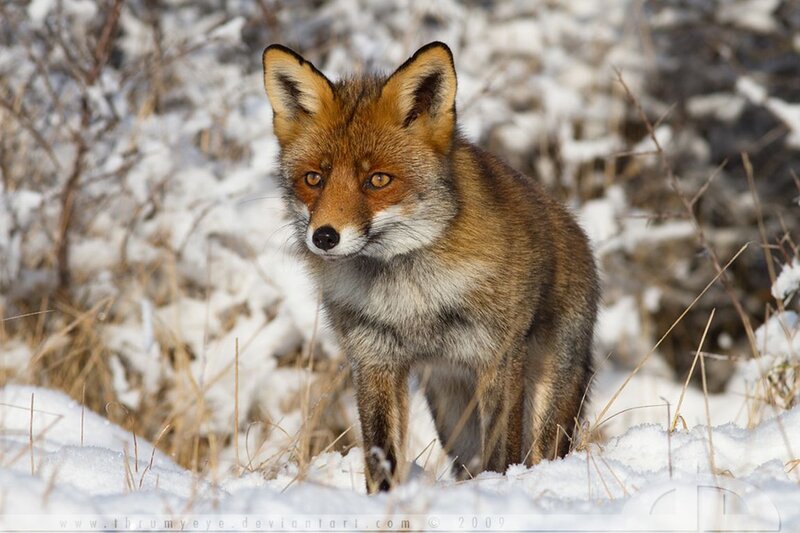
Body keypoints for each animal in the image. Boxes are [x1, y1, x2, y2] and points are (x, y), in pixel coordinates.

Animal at [261, 42, 599, 493]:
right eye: (313, 179)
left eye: (378, 180)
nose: (325, 237)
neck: (409, 296)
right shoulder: (374, 360)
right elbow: (381, 457)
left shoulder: (499, 358)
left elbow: (501, 456)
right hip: (453, 415)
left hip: (545, 397)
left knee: (535, 451)